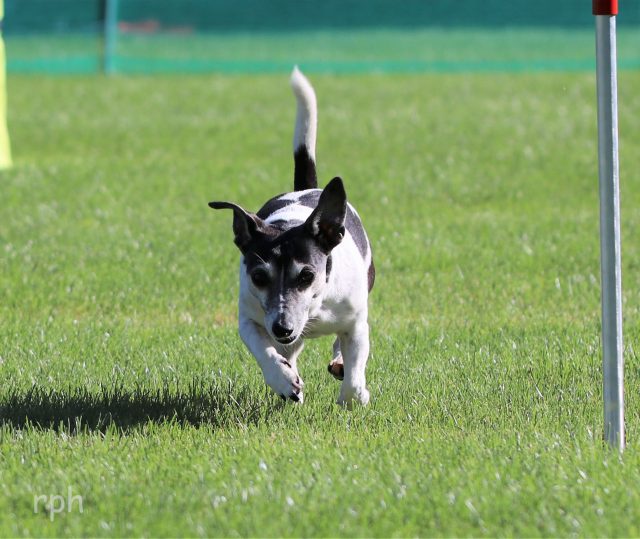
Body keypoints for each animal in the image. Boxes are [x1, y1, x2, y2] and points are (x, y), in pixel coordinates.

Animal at [209, 67, 374, 407]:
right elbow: (264, 349)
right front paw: (283, 379)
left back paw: (339, 362)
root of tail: (305, 188)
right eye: (259, 276)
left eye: (307, 275)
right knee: (290, 350)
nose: (282, 327)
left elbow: (354, 368)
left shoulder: (355, 321)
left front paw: (355, 393)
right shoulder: (251, 318)